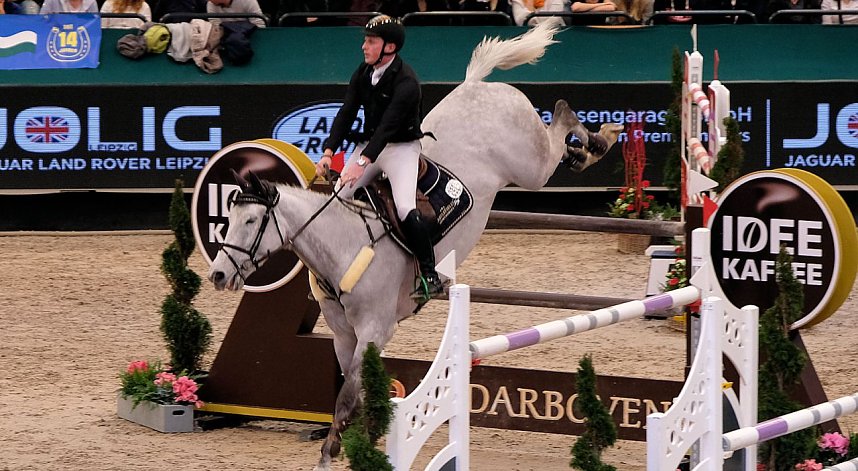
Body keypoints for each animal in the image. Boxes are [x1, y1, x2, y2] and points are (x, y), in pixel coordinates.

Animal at [207, 20, 622, 471]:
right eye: (228, 219)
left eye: (252, 221)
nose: (218, 275)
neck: (342, 246)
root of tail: (476, 84)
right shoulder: (343, 336)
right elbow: (355, 394)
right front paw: (360, 439)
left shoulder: (373, 331)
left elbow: (347, 397)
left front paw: (330, 454)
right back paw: (591, 143)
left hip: (530, 167)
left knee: (558, 130)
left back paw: (597, 141)